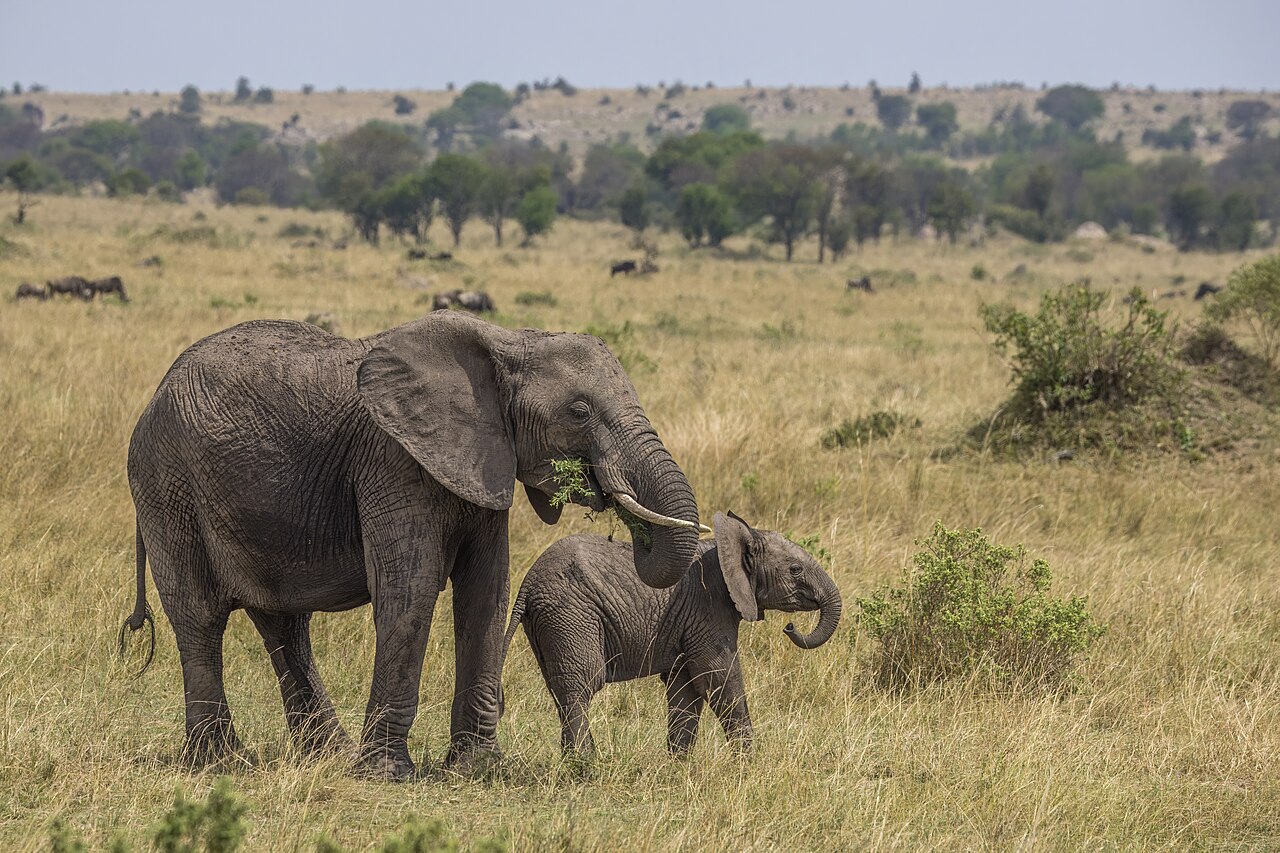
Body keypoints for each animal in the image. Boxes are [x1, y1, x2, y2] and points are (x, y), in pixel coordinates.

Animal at [119, 310, 703, 780]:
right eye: (579, 412)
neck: (507, 341)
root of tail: (153, 397)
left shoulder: (482, 463)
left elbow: (486, 594)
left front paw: (477, 768)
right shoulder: (393, 459)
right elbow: (410, 591)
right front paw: (386, 775)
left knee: (283, 623)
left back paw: (325, 757)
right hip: (167, 486)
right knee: (200, 617)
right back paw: (218, 762)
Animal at [504, 511, 842, 757]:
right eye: (795, 570)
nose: (789, 627)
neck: (726, 545)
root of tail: (526, 586)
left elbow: (686, 688)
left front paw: (679, 766)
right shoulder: (708, 608)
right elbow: (718, 678)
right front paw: (748, 763)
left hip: (551, 622)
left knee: (560, 690)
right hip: (571, 615)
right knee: (581, 685)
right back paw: (585, 767)